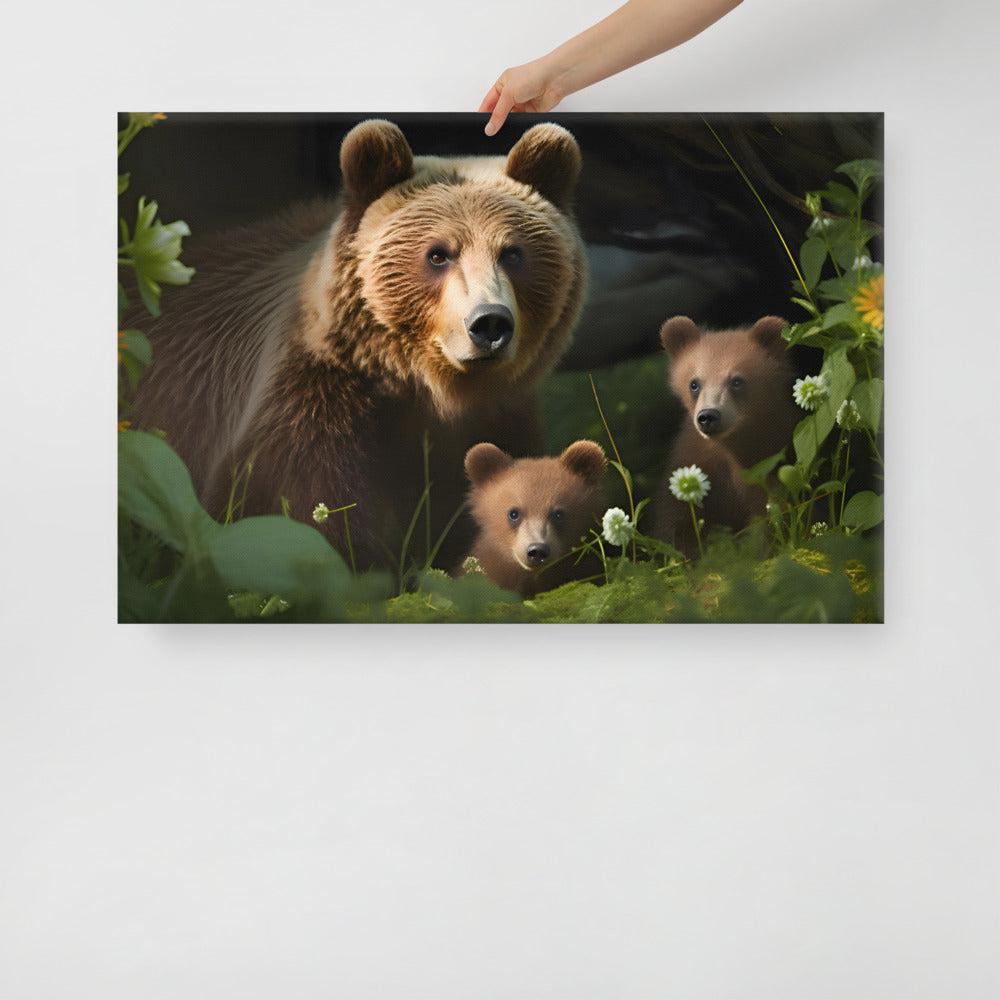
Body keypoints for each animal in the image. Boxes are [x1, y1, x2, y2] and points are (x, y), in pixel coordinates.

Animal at [131, 119, 587, 571]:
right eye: (438, 254)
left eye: (512, 253)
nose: (489, 322)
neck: (424, 392)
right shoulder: (312, 410)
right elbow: (300, 511)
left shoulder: (498, 421)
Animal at [651, 315, 801, 555]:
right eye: (694, 383)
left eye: (737, 381)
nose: (708, 416)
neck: (730, 448)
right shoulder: (696, 461)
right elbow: (678, 523)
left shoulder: (769, 461)